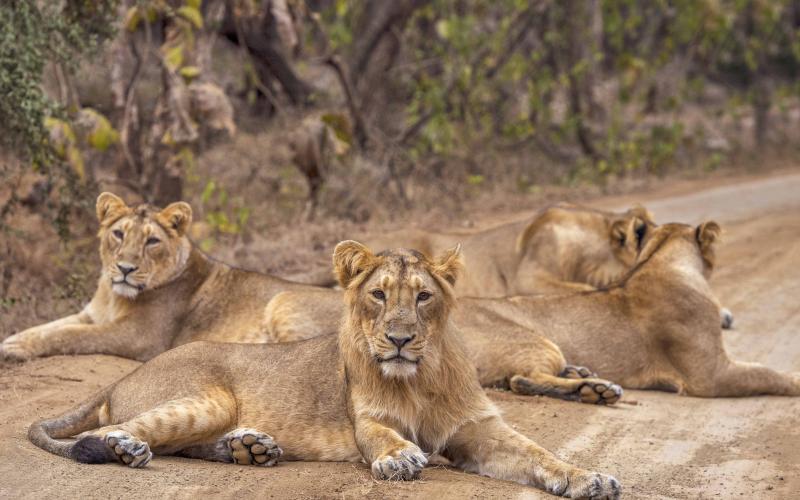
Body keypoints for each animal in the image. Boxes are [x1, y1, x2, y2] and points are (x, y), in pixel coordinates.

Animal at [1, 192, 318, 364]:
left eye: (152, 241)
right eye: (119, 234)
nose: (125, 268)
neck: (113, 296)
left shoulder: (138, 335)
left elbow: (69, 335)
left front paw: (18, 349)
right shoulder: (90, 314)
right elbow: (49, 325)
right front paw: (13, 339)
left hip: (283, 300)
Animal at [28, 243, 620, 500]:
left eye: (422, 297)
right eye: (379, 295)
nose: (399, 339)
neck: (420, 376)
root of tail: (118, 378)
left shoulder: (481, 430)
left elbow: (542, 456)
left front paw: (589, 479)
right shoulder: (369, 421)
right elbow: (386, 439)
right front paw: (401, 459)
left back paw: (251, 449)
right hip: (206, 398)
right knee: (111, 432)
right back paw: (132, 450)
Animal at [264, 223, 800, 398]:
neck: (660, 263)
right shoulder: (709, 375)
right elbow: (770, 374)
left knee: (525, 379)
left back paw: (587, 380)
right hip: (540, 338)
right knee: (523, 379)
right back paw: (594, 388)